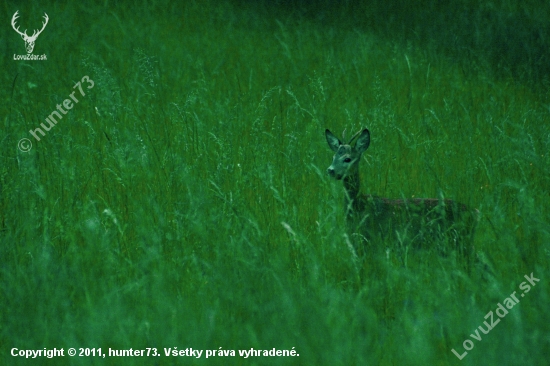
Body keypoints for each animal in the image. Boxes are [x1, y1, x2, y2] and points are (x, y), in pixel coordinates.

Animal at [328, 128, 478, 266]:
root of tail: (475, 213)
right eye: (333, 157)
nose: (330, 170)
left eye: (347, 159)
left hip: (457, 242)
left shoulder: (370, 241)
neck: (357, 207)